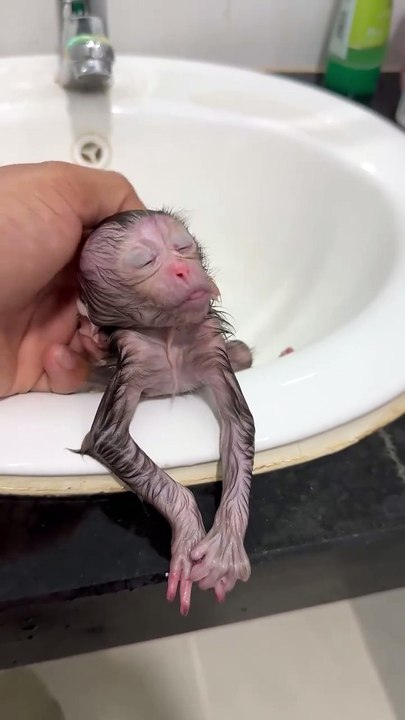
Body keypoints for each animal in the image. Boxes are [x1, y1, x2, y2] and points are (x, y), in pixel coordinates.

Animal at [74, 208, 255, 616]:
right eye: (145, 261)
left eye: (182, 247)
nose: (183, 270)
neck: (169, 334)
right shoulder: (133, 355)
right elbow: (108, 437)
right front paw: (188, 532)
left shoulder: (208, 341)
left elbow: (239, 423)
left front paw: (225, 546)